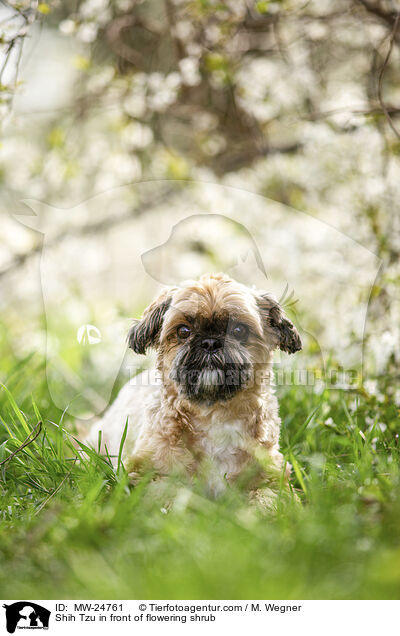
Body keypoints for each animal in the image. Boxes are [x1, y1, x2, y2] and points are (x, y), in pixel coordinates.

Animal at [86, 272, 302, 496]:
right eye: (183, 331)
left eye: (239, 330)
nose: (210, 342)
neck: (214, 414)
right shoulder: (143, 474)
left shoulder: (273, 477)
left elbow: (266, 498)